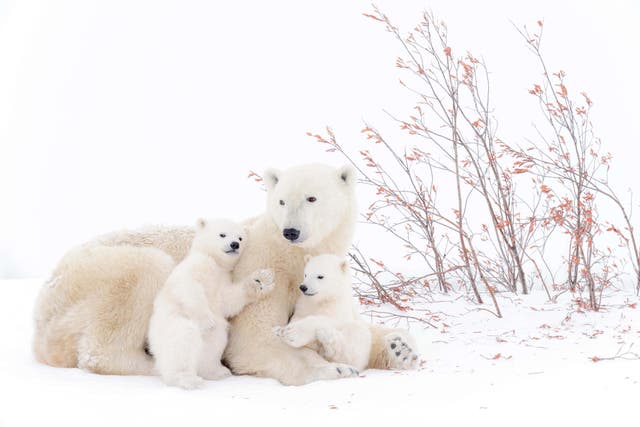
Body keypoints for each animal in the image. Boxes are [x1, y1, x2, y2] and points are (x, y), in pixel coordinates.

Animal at [32, 165, 418, 388]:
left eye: (312, 198)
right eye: (281, 200)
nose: (291, 231)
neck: (292, 255)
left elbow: (351, 330)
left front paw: (400, 347)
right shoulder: (267, 261)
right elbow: (254, 336)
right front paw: (331, 370)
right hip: (100, 273)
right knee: (143, 278)